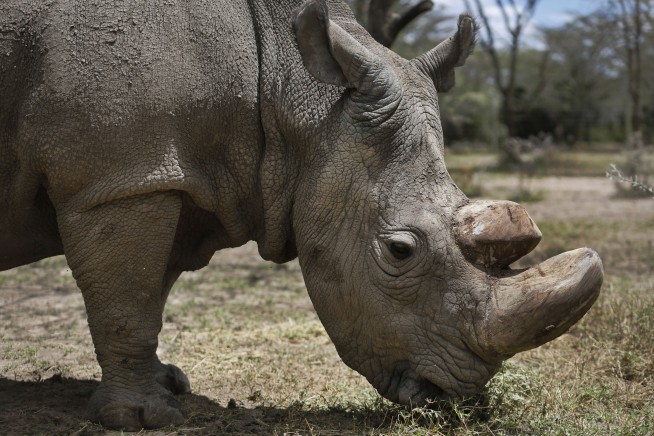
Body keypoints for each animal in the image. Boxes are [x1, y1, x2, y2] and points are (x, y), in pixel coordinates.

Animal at [0, 0, 603, 430]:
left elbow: (150, 289)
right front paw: (142, 418)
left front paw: (169, 385)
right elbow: (129, 300)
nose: (460, 398)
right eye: (399, 250)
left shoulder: (163, 174)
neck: (283, 91)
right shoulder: (118, 179)